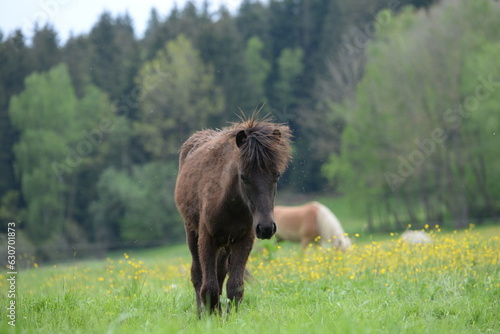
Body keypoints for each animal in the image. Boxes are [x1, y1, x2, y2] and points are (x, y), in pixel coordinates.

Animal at [174, 115, 292, 314]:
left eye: (276, 176)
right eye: (243, 176)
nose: (266, 228)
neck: (230, 205)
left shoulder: (243, 240)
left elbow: (234, 286)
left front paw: (229, 317)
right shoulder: (207, 239)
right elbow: (209, 287)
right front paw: (211, 317)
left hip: (225, 244)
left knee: (220, 273)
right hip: (192, 233)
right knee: (197, 275)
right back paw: (201, 314)